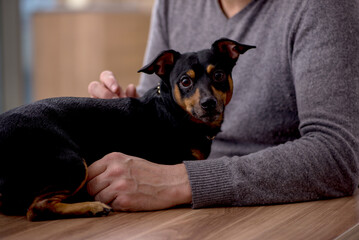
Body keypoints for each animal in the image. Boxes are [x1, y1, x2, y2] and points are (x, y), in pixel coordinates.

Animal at [0, 38, 255, 220]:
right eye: (185, 82)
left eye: (219, 75)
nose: (208, 103)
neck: (174, 111)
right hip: (73, 163)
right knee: (36, 209)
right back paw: (91, 206)